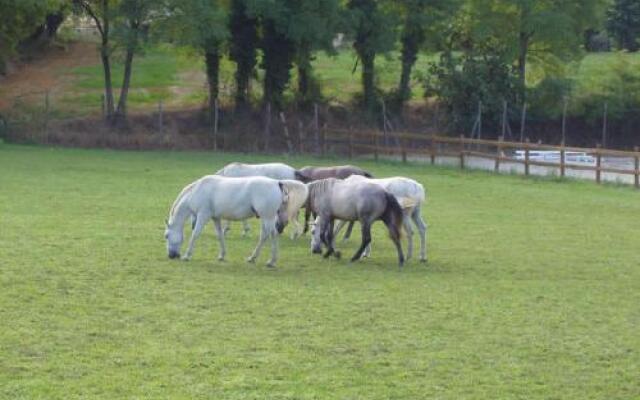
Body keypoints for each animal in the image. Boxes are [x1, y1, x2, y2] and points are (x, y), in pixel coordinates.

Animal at [165, 176, 296, 268]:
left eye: (166, 236)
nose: (171, 256)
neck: (197, 191)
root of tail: (276, 182)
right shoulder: (215, 218)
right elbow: (220, 235)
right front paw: (222, 255)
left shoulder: (203, 216)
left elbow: (195, 235)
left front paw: (187, 255)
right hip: (265, 218)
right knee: (264, 236)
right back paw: (252, 258)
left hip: (267, 217)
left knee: (272, 235)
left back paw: (271, 261)